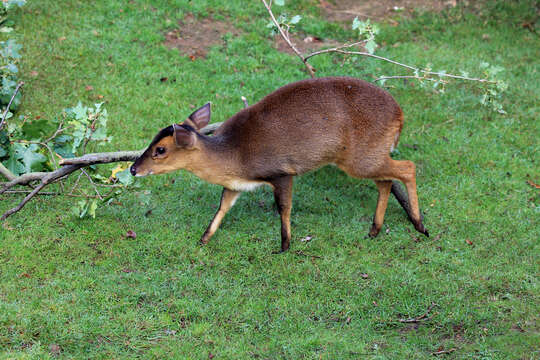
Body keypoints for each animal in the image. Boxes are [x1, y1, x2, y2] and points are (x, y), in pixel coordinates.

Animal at [130, 76, 426, 250]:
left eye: (160, 149)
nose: (133, 169)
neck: (233, 155)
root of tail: (400, 115)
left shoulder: (282, 172)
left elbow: (284, 207)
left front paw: (284, 245)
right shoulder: (235, 185)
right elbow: (222, 208)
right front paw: (203, 238)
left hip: (361, 158)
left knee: (407, 168)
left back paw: (420, 224)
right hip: (369, 157)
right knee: (386, 181)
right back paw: (374, 230)